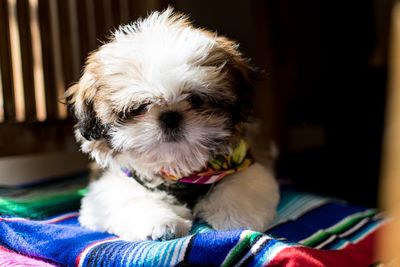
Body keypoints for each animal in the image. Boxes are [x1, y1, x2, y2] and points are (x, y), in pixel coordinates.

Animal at [65, 8, 280, 242]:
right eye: (140, 108)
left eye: (196, 99)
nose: (169, 117)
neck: (180, 172)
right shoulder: (111, 185)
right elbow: (132, 198)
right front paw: (161, 222)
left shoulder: (245, 164)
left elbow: (239, 185)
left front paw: (234, 216)